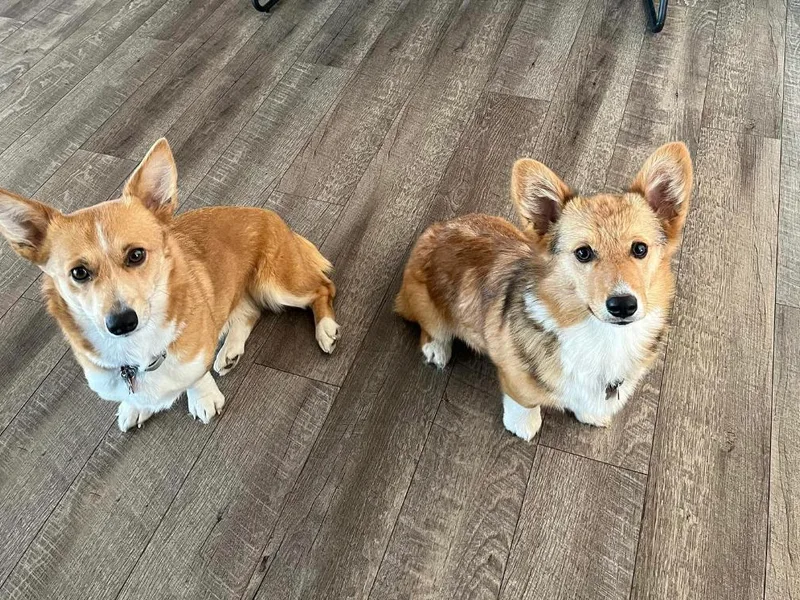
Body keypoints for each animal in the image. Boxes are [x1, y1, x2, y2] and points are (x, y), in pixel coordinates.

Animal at [396, 143, 692, 440]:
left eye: (640, 249)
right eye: (583, 253)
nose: (623, 305)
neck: (604, 336)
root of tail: (435, 230)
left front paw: (592, 414)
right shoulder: (516, 376)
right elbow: (524, 402)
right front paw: (523, 425)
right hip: (427, 306)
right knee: (431, 329)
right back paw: (436, 350)